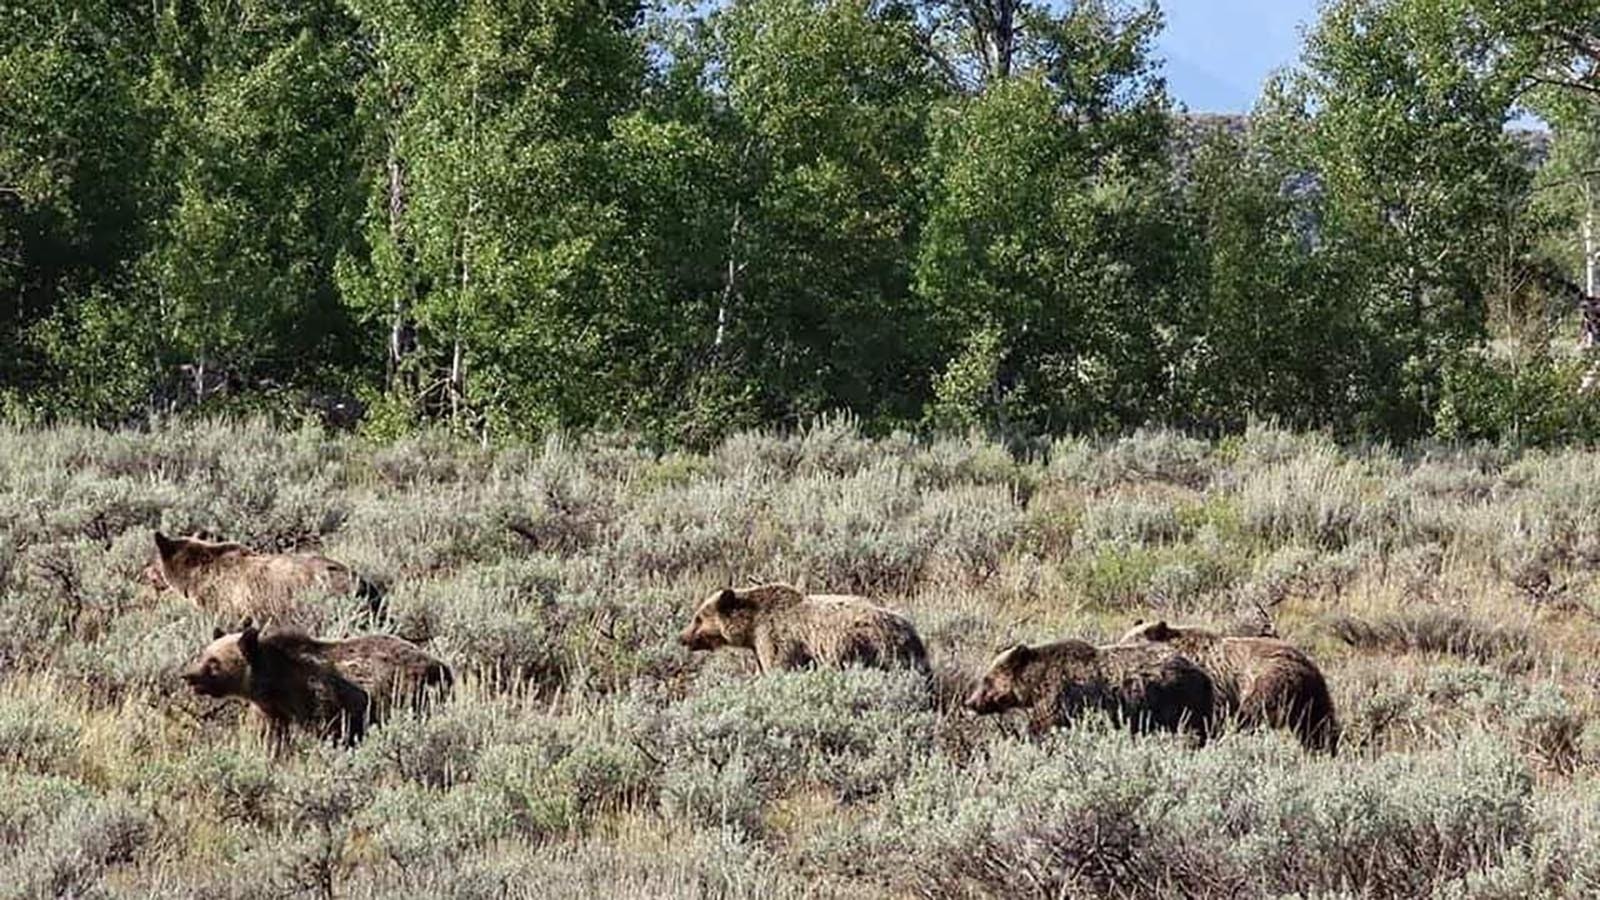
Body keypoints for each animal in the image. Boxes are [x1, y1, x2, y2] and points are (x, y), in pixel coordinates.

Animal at [183, 614, 454, 749]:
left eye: (214, 662)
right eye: (203, 654)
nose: (188, 676)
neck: (275, 684)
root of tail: (442, 665)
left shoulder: (319, 698)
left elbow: (330, 729)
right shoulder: (270, 710)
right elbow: (268, 736)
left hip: (410, 692)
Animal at [672, 582, 928, 672]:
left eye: (698, 618)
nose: (681, 637)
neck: (751, 628)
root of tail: (910, 632)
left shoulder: (776, 639)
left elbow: (780, 666)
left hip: (868, 646)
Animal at [960, 634, 1209, 733]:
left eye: (987, 679)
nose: (969, 702)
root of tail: (1201, 672)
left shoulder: (1061, 699)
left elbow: (1045, 725)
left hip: (1178, 702)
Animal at [1120, 614, 1344, 749]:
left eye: (1129, 644)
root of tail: (1307, 664)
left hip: (1266, 685)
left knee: (1251, 717)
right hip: (1313, 696)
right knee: (1318, 726)